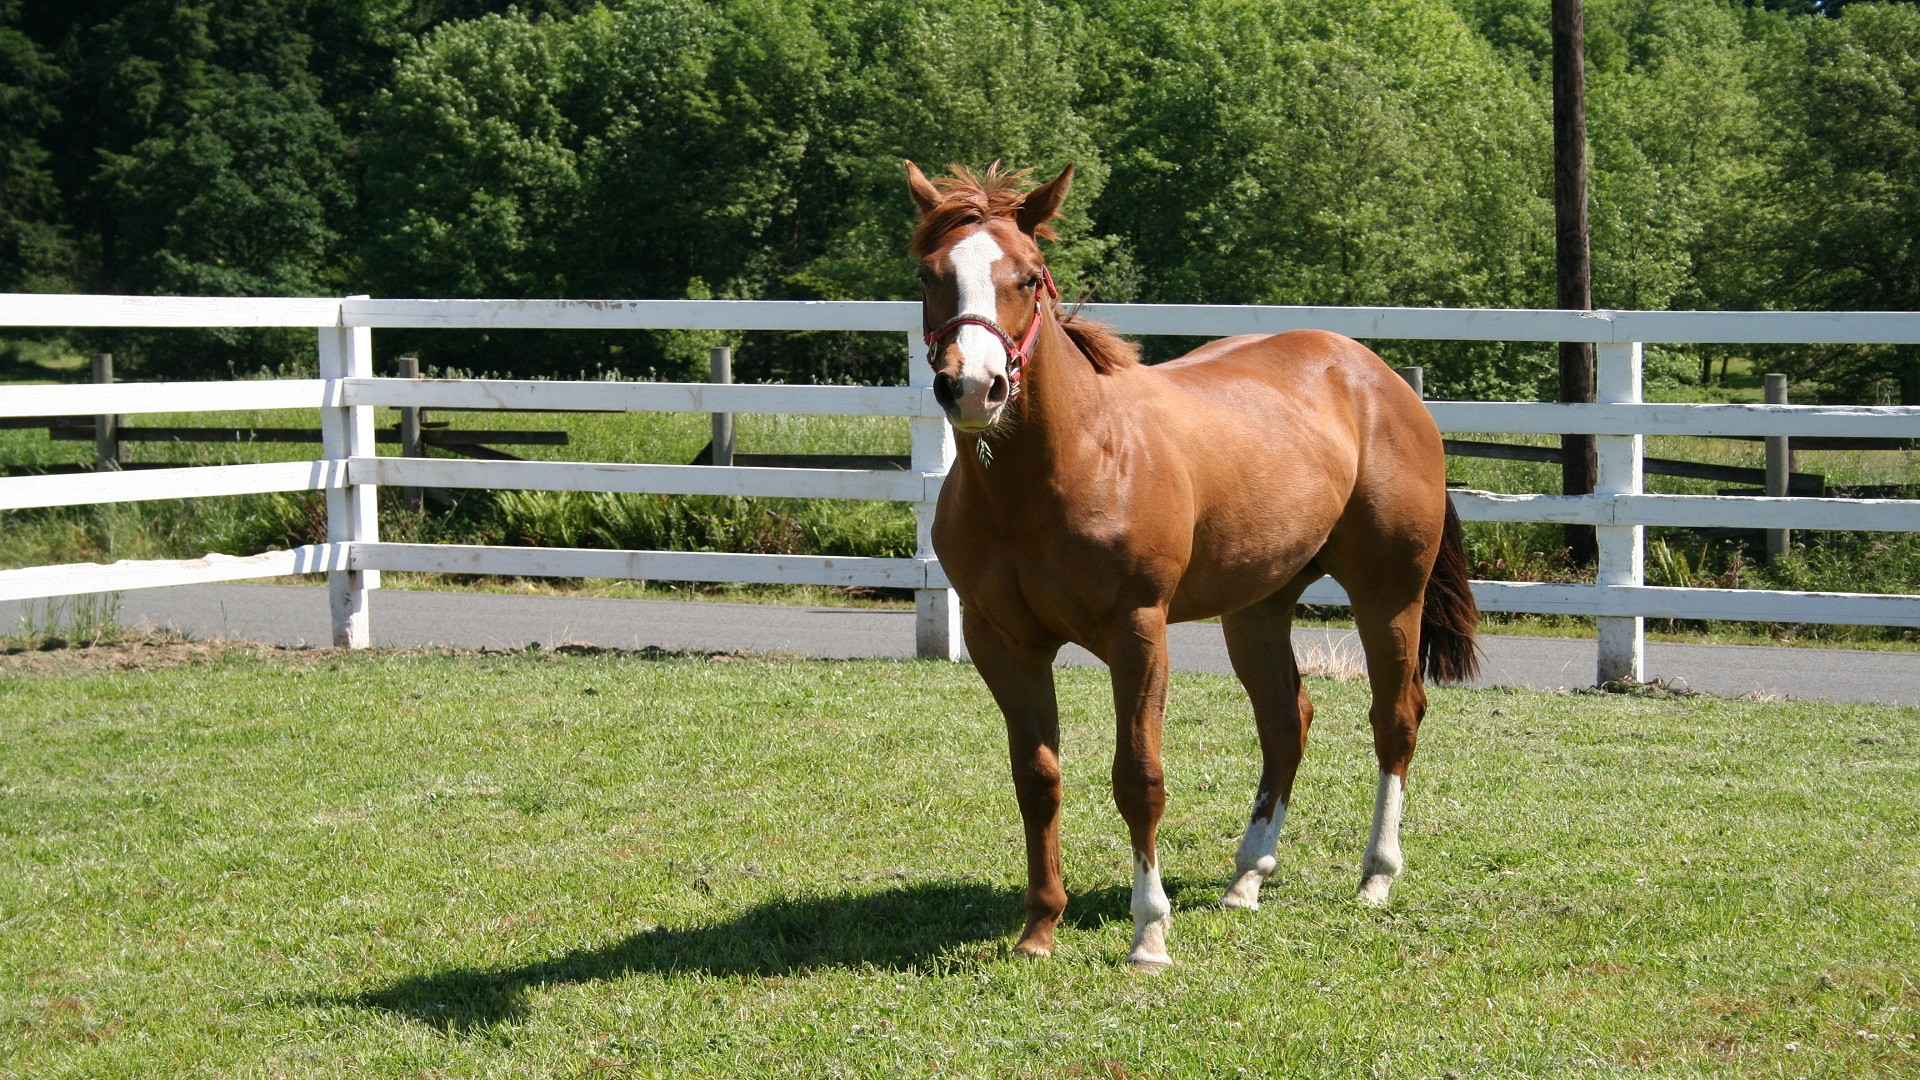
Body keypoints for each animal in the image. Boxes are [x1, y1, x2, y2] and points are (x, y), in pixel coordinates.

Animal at [906, 161, 1474, 968]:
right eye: (931, 275)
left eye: (1028, 275)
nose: (973, 387)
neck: (1062, 467)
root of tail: (1381, 378)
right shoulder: (1002, 642)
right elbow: (1037, 779)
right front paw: (1039, 929)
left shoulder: (1138, 634)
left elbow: (1139, 780)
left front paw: (1150, 932)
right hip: (1257, 610)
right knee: (1286, 721)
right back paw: (1247, 878)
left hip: (1390, 592)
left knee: (1395, 717)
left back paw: (1375, 876)